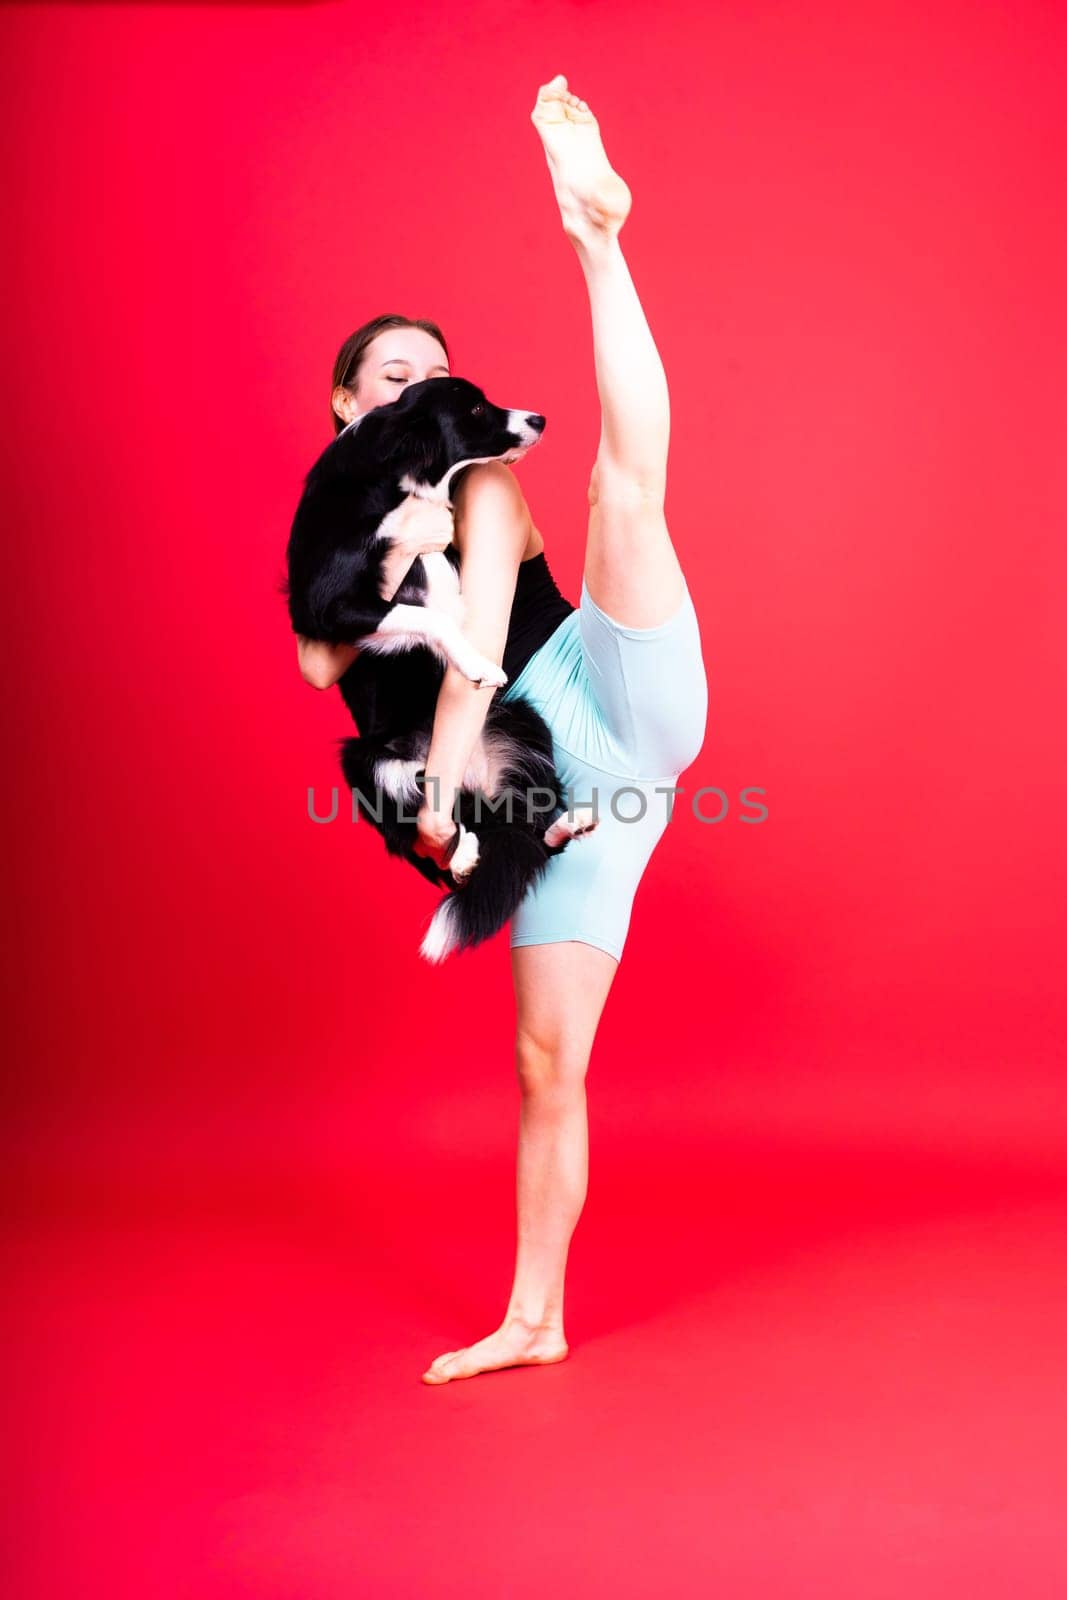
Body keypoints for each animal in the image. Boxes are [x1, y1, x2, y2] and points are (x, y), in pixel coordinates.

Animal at [283, 377, 598, 960]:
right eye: (474, 408)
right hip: (362, 762)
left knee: (520, 828)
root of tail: (470, 776)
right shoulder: (324, 606)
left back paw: (565, 827)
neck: (399, 474)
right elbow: (427, 616)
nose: (540, 419)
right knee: (431, 830)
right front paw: (476, 664)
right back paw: (464, 854)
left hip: (519, 719)